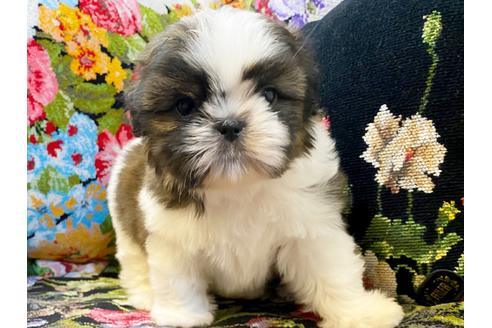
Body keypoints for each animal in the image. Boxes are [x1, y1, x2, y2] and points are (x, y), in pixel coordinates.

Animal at [107, 5, 404, 328]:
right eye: (184, 106)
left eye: (269, 95)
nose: (229, 125)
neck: (239, 186)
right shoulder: (171, 235)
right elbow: (177, 278)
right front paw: (182, 316)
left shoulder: (312, 222)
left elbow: (331, 270)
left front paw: (360, 313)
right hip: (126, 229)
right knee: (134, 262)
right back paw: (144, 294)